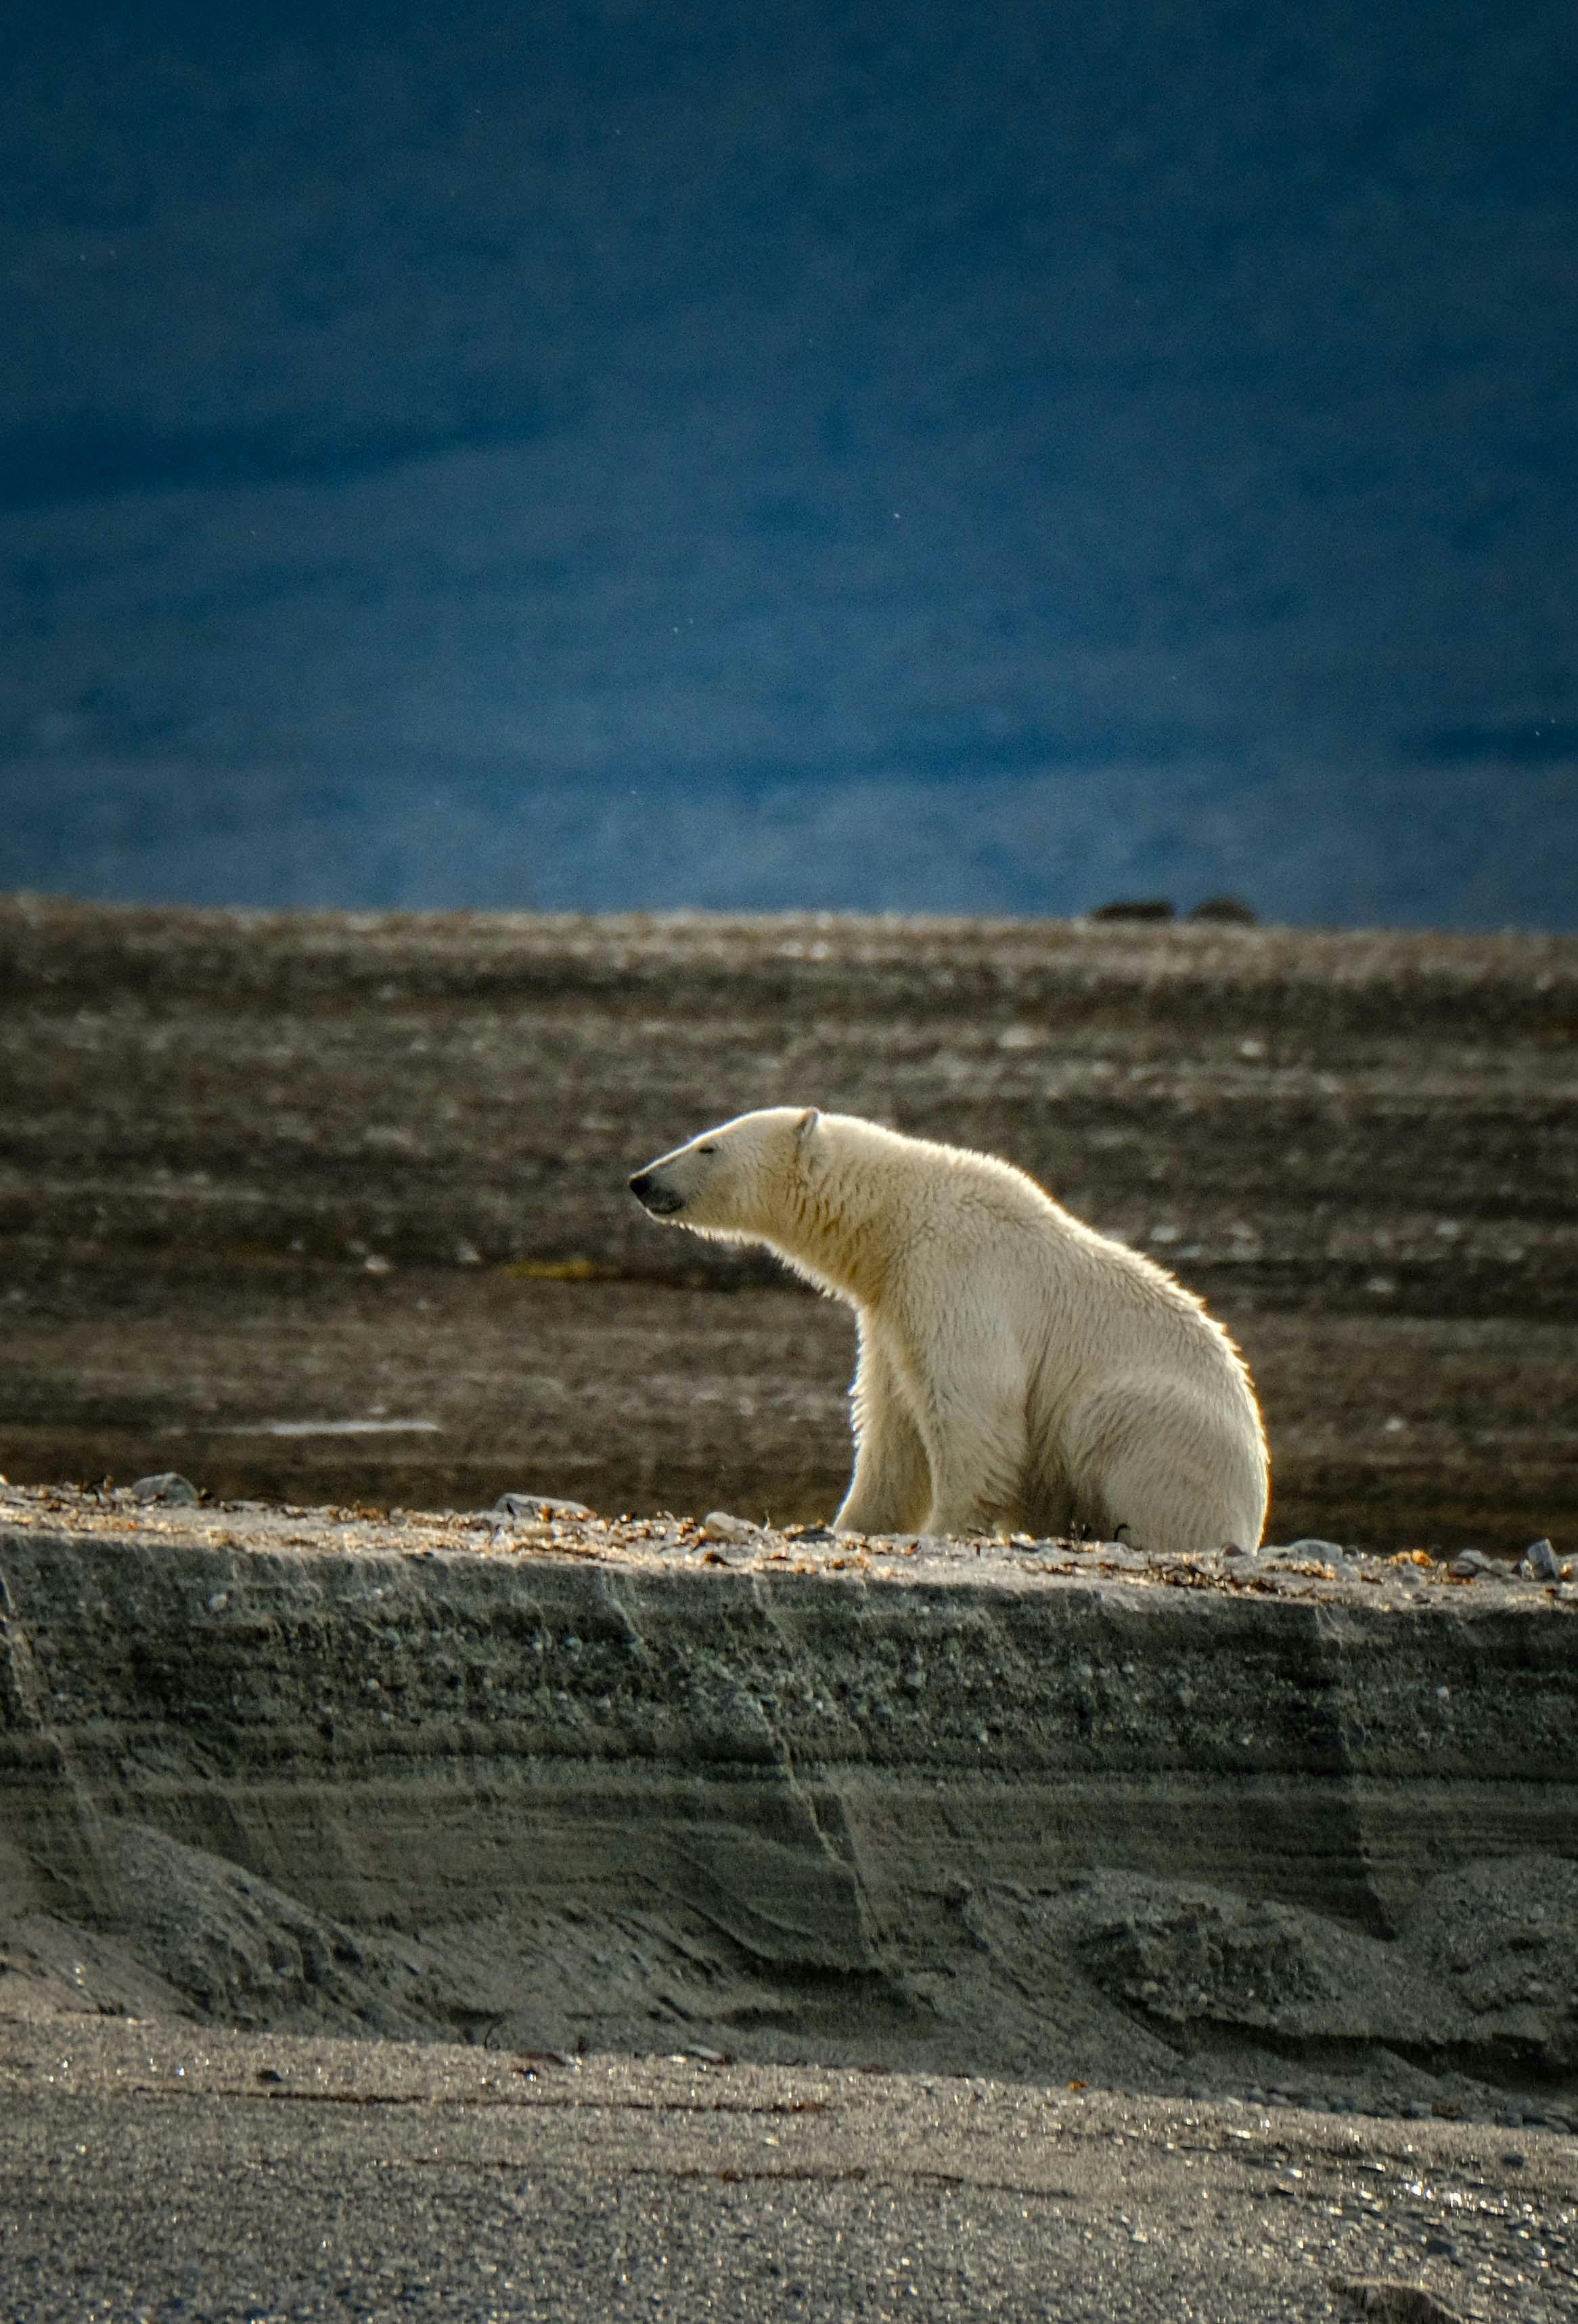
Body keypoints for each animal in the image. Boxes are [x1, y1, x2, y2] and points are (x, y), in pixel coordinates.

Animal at [627, 1111, 1273, 1552]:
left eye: (708, 1145)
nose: (641, 1180)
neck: (898, 1216)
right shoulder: (890, 1310)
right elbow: (891, 1429)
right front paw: (849, 1524)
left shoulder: (955, 1277)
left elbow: (971, 1412)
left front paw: (946, 1527)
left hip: (1165, 1424)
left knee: (1115, 1427)